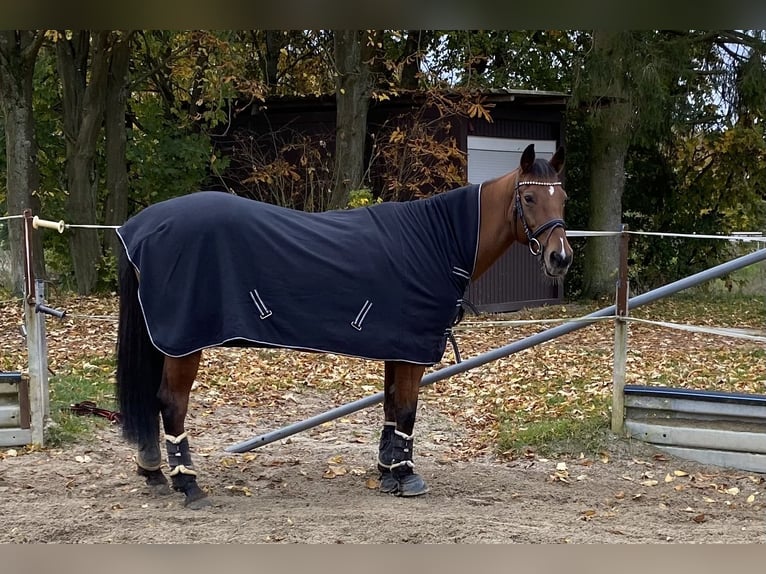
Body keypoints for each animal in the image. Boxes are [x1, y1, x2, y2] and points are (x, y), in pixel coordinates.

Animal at [115, 143, 572, 508]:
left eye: (562, 198)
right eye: (529, 196)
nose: (560, 258)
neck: (435, 243)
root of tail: (139, 227)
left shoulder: (396, 347)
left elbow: (392, 408)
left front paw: (388, 471)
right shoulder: (412, 350)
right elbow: (407, 410)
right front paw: (406, 476)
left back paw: (154, 471)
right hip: (183, 342)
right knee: (172, 404)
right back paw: (188, 485)